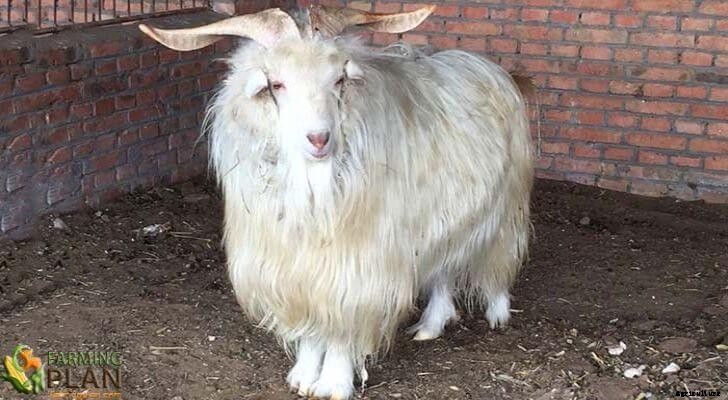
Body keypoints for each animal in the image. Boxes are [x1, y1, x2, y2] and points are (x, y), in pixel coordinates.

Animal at [139, 6, 533, 399]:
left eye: (338, 81)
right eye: (277, 84)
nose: (319, 138)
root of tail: (484, 64)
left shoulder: (355, 270)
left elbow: (343, 328)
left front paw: (334, 382)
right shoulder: (297, 271)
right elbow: (313, 328)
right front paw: (303, 375)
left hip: (507, 203)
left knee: (501, 256)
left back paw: (498, 313)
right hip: (444, 217)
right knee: (444, 268)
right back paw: (431, 325)